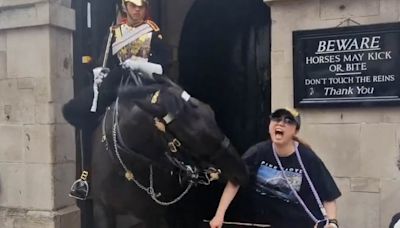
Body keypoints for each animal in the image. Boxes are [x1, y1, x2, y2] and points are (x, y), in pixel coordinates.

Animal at [80, 76, 248, 228]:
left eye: (211, 112)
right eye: (191, 134)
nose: (242, 172)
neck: (126, 166)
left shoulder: (152, 215)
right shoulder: (103, 209)